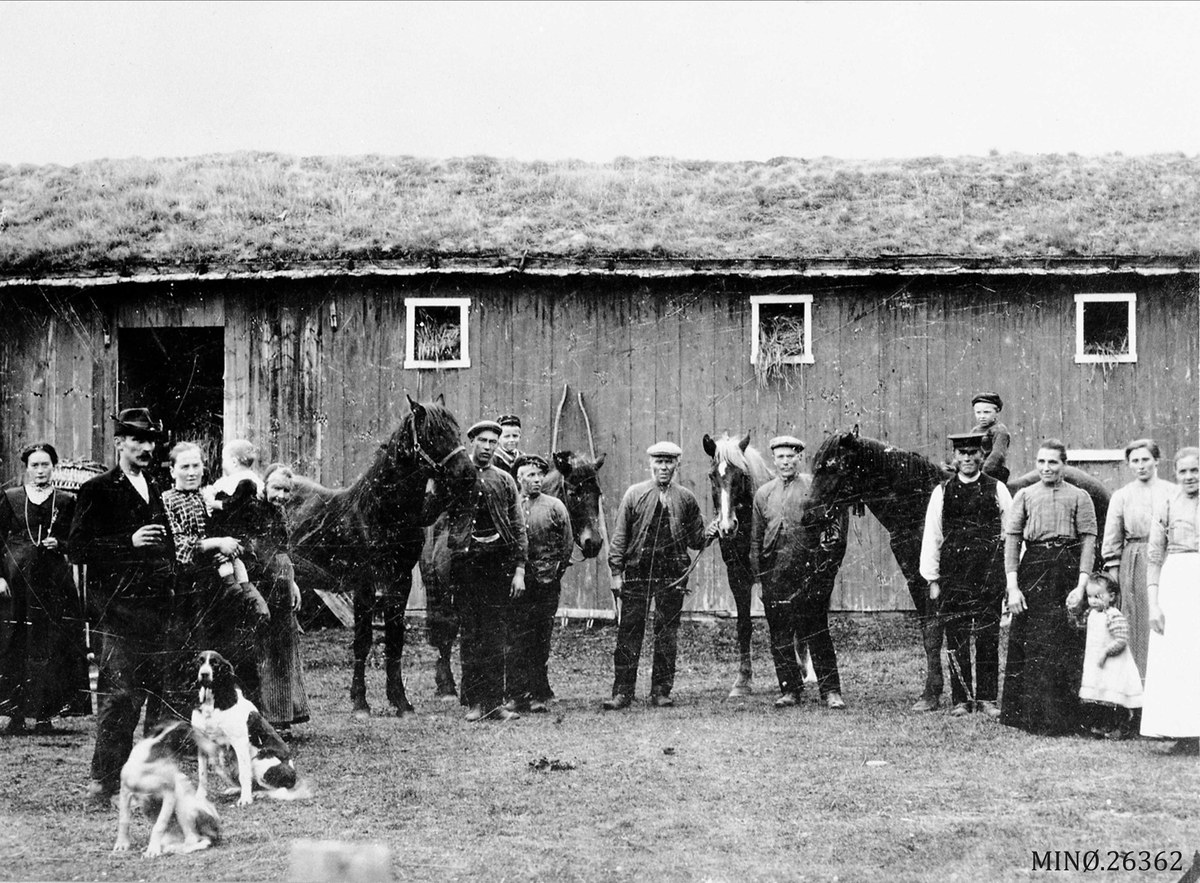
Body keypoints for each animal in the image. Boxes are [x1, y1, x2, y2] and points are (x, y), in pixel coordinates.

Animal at [112, 719, 220, 859]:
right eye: (194, 735)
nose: (216, 747)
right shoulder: (125, 791)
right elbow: (123, 821)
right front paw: (122, 844)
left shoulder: (169, 794)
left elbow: (159, 825)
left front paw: (153, 850)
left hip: (184, 805)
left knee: (195, 839)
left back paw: (172, 849)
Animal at [288, 395, 475, 719]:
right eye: (434, 434)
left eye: (457, 431)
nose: (468, 473)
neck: (380, 512)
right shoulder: (365, 584)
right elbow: (363, 642)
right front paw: (360, 703)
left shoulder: (400, 581)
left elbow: (395, 641)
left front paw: (401, 702)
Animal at [424, 451, 609, 700]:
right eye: (574, 493)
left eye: (597, 493)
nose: (594, 543)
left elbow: (540, 639)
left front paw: (542, 688)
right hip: (440, 591)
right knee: (446, 630)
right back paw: (447, 686)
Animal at [801, 427, 1108, 710]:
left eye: (835, 466)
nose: (808, 515)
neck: (918, 506)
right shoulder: (918, 581)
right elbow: (930, 634)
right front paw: (933, 695)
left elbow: (936, 632)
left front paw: (932, 693)